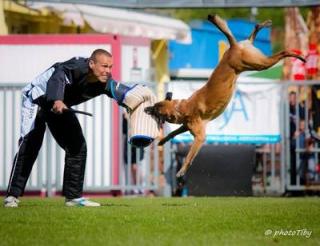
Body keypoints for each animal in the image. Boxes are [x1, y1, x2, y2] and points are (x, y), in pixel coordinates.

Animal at [145, 14, 304, 178]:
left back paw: (296, 55)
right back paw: (262, 25)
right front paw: (163, 141)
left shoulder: (200, 137)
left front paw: (182, 170)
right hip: (252, 59)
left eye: (155, 110)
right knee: (252, 35)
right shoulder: (186, 126)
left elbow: (189, 156)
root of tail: (233, 47)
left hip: (258, 64)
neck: (182, 107)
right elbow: (174, 133)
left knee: (281, 53)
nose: (145, 109)